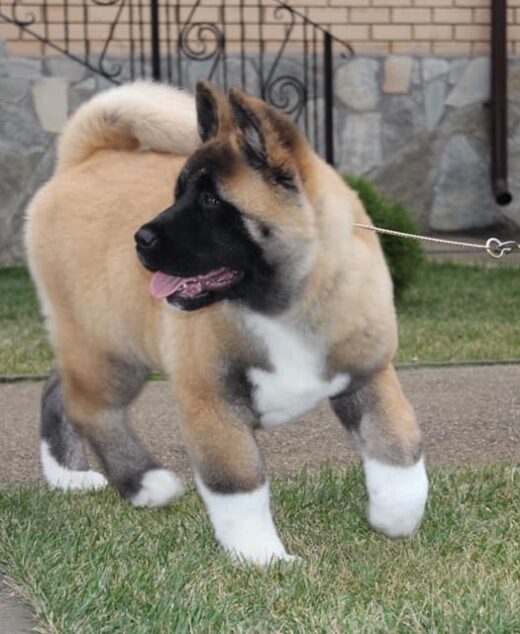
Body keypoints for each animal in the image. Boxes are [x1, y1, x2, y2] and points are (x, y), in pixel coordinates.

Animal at [25, 80, 426, 564]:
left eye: (212, 201)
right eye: (178, 193)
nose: (140, 239)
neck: (280, 304)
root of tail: (82, 159)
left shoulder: (368, 375)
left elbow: (399, 444)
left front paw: (396, 514)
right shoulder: (212, 403)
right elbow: (239, 488)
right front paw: (263, 558)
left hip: (93, 342)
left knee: (58, 389)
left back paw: (68, 477)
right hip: (109, 348)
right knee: (92, 408)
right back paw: (145, 483)